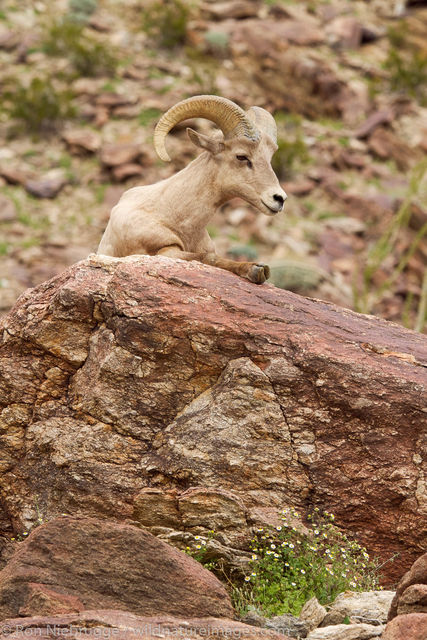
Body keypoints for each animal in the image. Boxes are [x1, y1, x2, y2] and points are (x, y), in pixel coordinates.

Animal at [98, 94, 288, 282]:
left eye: (269, 158)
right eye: (241, 156)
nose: (279, 198)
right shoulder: (165, 251)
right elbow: (208, 257)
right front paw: (255, 270)